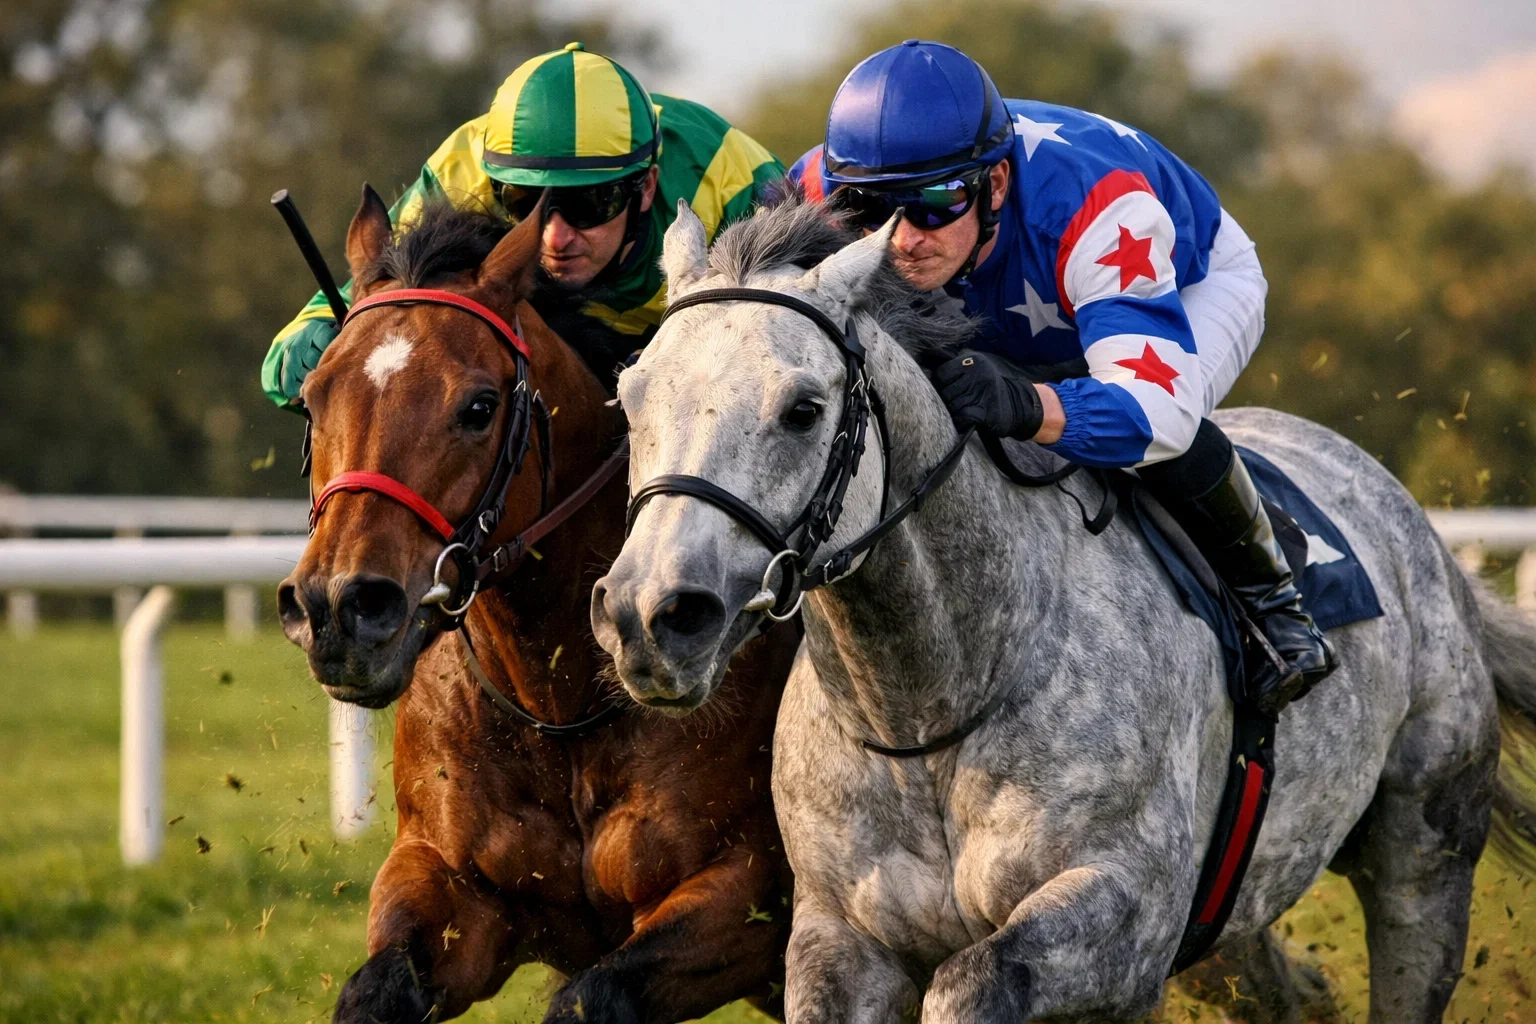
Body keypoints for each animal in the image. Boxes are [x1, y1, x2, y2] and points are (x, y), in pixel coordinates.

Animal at [277, 187, 798, 1023]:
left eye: (479, 406)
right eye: (312, 399)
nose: (340, 607)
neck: (560, 697)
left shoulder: (751, 893)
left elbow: (594, 996)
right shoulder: (448, 881)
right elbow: (374, 990)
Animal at [591, 193, 1536, 1022]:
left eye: (802, 409)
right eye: (630, 399)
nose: (650, 616)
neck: (934, 705)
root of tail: (1424, 538)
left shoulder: (1122, 918)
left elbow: (969, 985)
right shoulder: (839, 941)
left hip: (1424, 856)